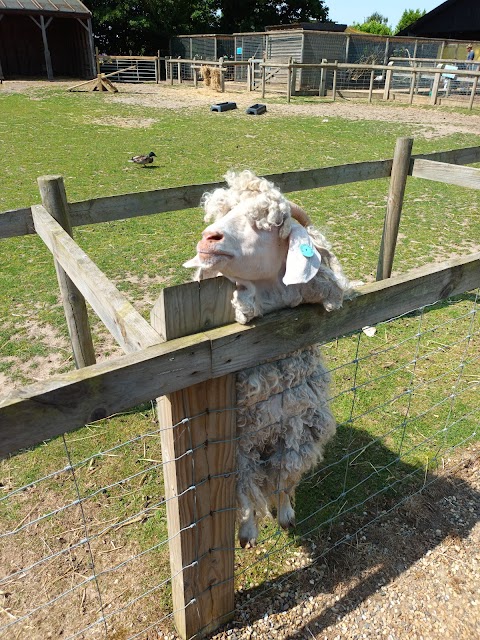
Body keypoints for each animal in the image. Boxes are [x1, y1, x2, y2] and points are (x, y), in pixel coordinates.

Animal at [184, 171, 348, 552]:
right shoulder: (239, 446)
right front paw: (247, 531)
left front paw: (286, 514)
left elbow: (286, 476)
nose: (208, 238)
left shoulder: (296, 430)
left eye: (269, 224)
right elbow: (245, 489)